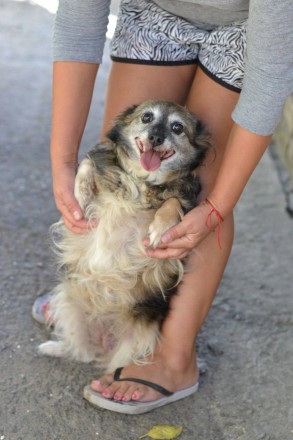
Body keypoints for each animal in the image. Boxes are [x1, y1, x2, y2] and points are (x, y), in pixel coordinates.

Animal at [38, 99, 209, 372]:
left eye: (178, 128)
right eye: (147, 117)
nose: (156, 137)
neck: (142, 180)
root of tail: (104, 342)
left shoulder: (187, 203)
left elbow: (173, 202)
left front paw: (160, 227)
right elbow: (87, 163)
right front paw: (81, 191)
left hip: (136, 344)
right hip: (66, 301)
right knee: (80, 351)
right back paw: (55, 347)